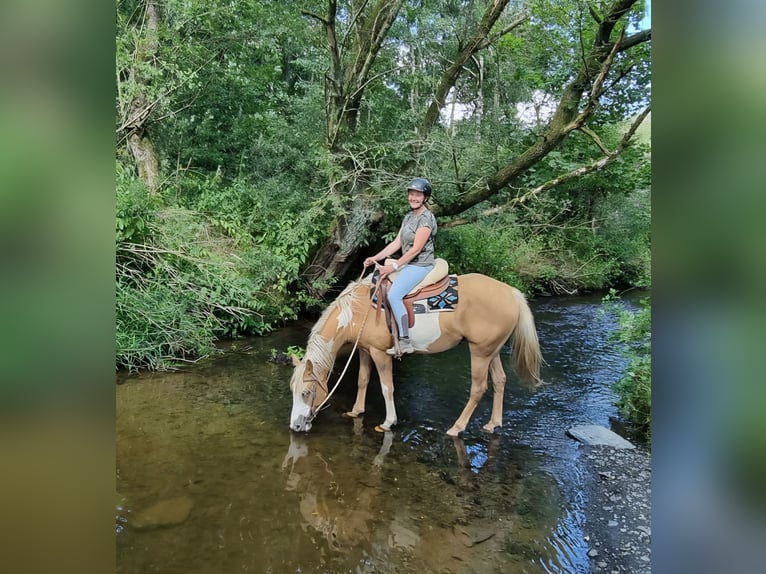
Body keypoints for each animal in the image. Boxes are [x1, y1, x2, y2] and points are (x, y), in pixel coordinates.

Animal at [288, 271, 543, 436]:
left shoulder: (380, 353)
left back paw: (456, 428)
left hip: (479, 351)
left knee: (478, 388)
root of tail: (511, 292)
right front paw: (356, 411)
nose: (296, 427)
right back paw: (493, 424)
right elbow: (363, 380)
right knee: (500, 380)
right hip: (492, 350)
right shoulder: (364, 349)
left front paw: (388, 422)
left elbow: (386, 387)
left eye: (307, 392)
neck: (358, 311)